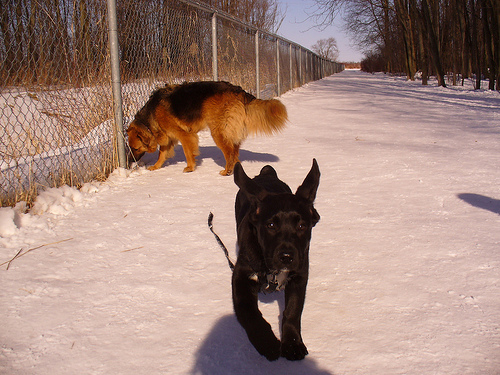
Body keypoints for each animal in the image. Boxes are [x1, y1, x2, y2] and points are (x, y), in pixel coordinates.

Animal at [233, 161, 320, 362]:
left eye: (302, 226)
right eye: (270, 225)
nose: (287, 257)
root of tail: (266, 174)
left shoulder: (300, 275)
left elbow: (293, 311)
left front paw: (293, 343)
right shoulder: (241, 277)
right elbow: (250, 313)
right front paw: (267, 342)